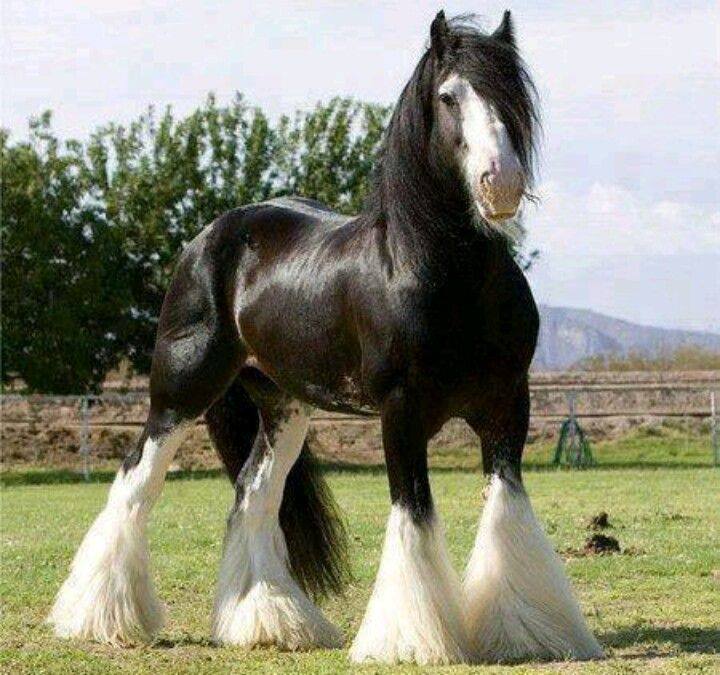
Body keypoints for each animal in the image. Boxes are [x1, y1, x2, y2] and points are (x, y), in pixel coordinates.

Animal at [48, 10, 603, 665]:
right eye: (449, 97)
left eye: (513, 96)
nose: (502, 184)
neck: (436, 273)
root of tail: (210, 237)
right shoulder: (401, 410)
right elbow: (413, 515)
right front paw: (410, 641)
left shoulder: (507, 404)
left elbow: (506, 512)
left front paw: (529, 632)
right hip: (180, 392)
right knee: (136, 482)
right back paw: (96, 617)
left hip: (285, 406)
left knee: (253, 497)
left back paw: (270, 622)